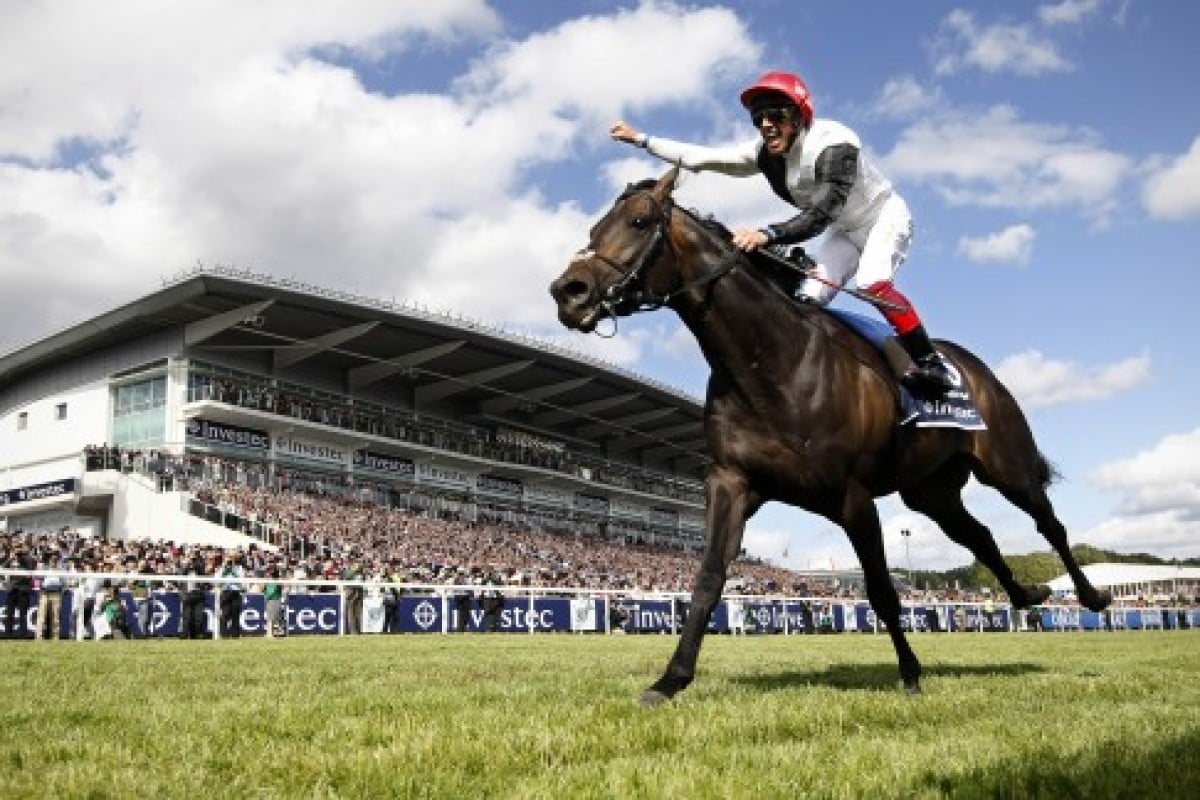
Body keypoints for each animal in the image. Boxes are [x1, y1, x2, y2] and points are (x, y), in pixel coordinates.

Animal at [549, 165, 1108, 705]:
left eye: (639, 222)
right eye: (593, 229)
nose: (567, 291)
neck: (771, 363)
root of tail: (974, 367)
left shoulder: (852, 495)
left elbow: (882, 589)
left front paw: (910, 673)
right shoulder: (733, 481)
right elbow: (708, 578)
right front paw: (671, 680)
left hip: (1006, 465)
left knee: (1049, 524)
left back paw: (1092, 596)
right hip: (931, 492)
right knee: (981, 536)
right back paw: (1027, 595)